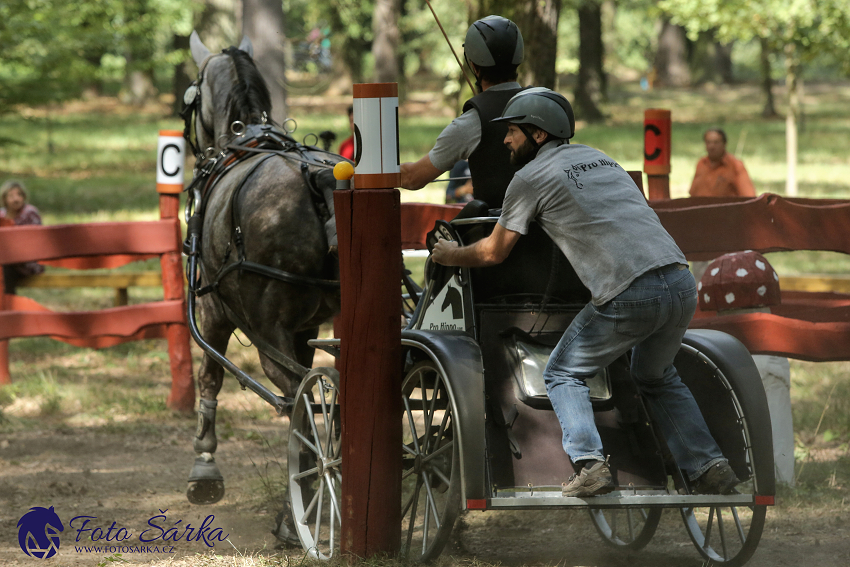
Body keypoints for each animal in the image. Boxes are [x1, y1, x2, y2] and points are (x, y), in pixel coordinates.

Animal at [183, 32, 344, 544]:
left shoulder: (213, 312)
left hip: (264, 331)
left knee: (299, 401)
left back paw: (303, 508)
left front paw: (204, 467)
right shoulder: (305, 329)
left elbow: (209, 377)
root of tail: (320, 180)